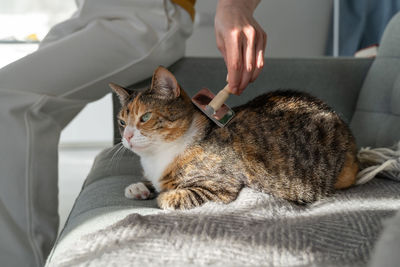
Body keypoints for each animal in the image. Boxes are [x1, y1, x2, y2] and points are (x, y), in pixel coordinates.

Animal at [110, 66, 360, 210]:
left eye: (145, 117)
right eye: (122, 122)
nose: (127, 137)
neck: (158, 157)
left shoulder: (219, 187)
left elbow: (174, 195)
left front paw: (162, 196)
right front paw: (140, 187)